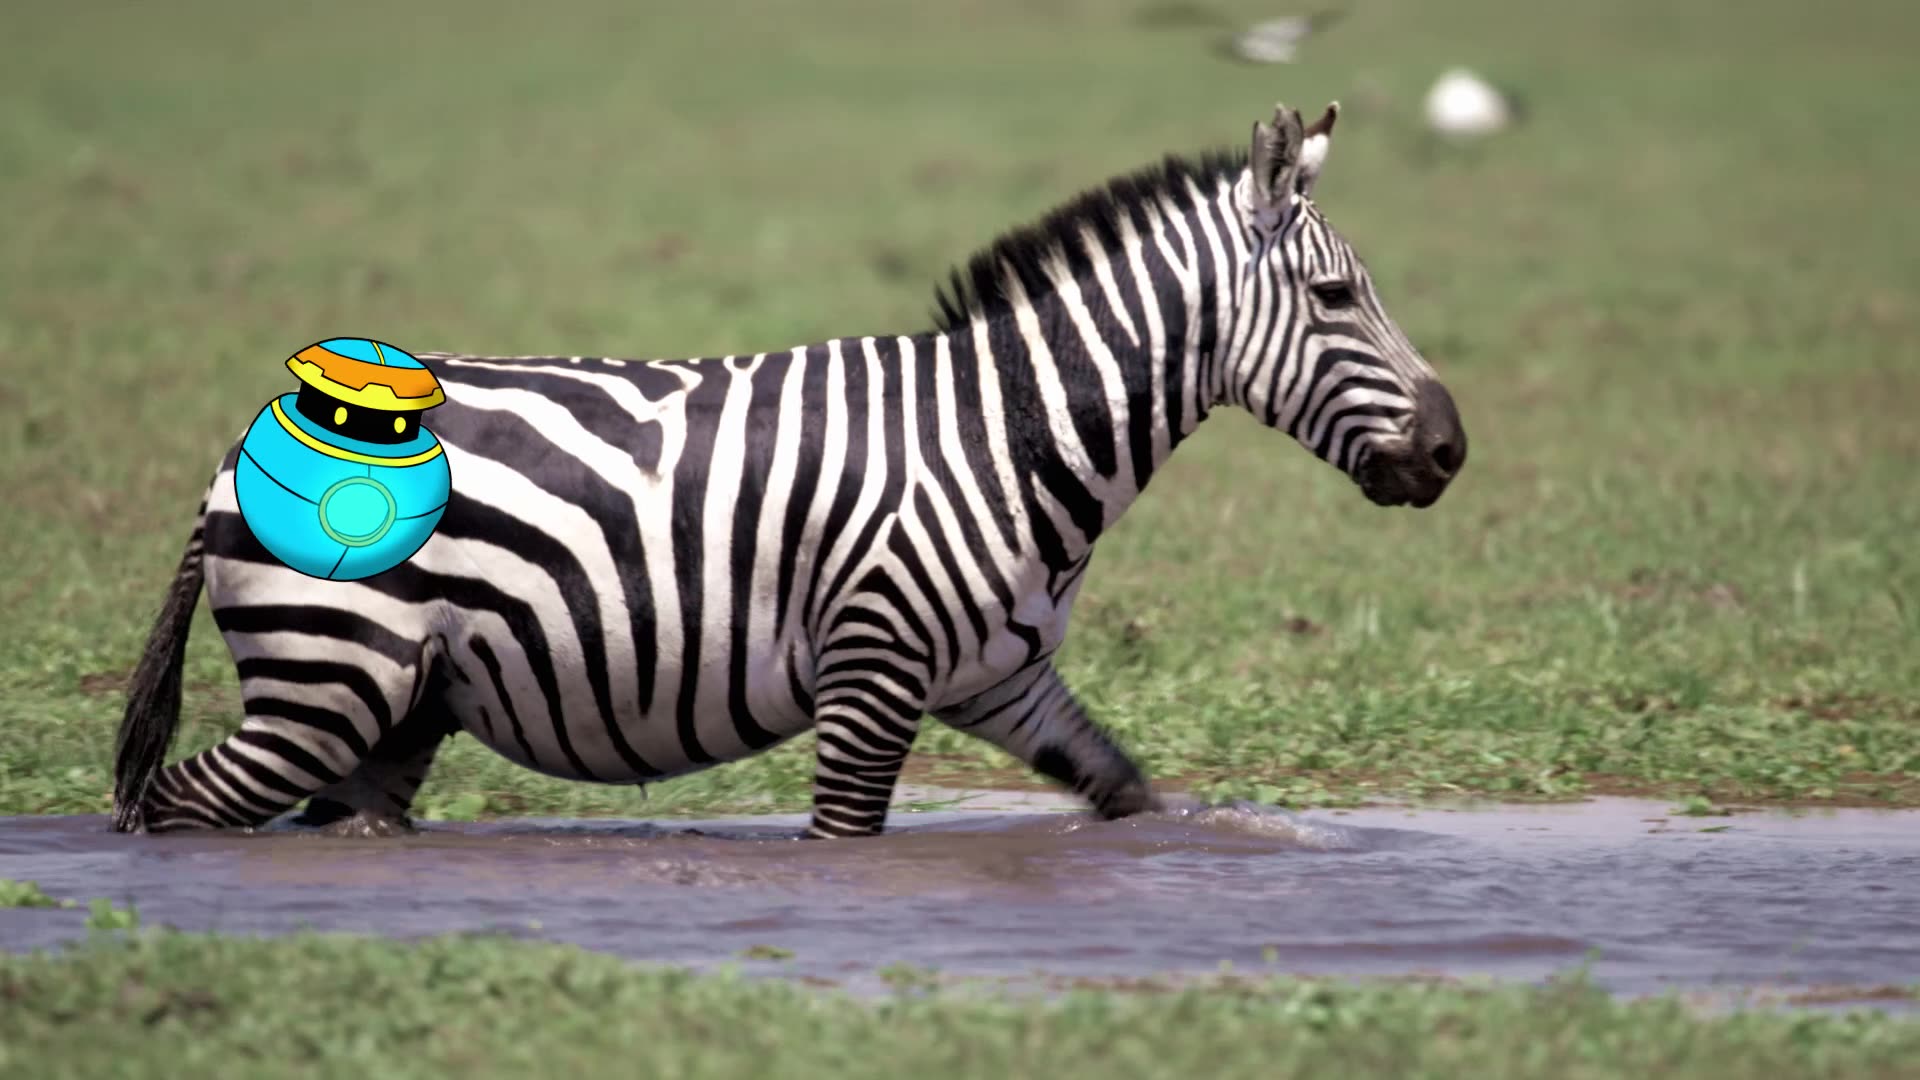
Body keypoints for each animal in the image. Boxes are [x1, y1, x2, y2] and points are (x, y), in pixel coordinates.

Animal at [111, 100, 1467, 840]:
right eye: (1337, 299)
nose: (1453, 449)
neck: (1009, 432)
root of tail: (238, 451)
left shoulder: (1003, 676)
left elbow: (1126, 793)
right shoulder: (873, 670)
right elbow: (843, 840)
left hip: (397, 704)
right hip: (325, 678)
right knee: (174, 812)